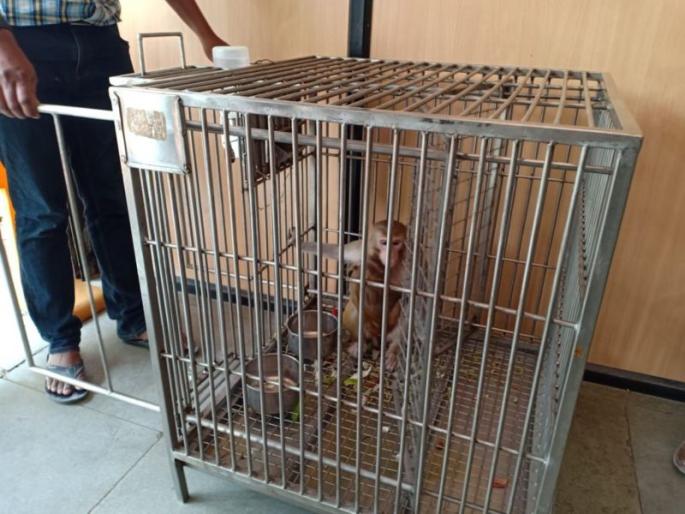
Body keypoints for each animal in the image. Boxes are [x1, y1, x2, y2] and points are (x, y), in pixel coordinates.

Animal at [301, 220, 408, 371]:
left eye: (396, 243)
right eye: (384, 242)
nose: (390, 255)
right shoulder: (362, 250)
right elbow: (337, 252)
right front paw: (296, 241)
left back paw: (394, 351)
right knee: (356, 309)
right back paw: (360, 344)